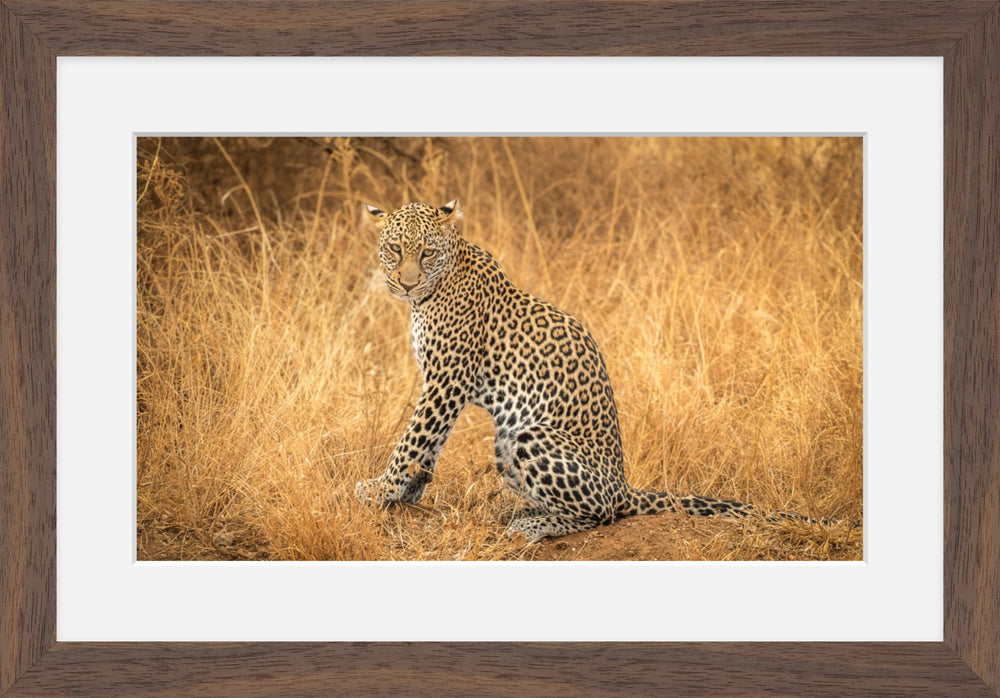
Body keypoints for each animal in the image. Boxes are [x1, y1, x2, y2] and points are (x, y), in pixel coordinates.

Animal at [355, 199, 843, 543]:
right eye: (394, 249)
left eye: (427, 252)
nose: (407, 283)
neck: (435, 288)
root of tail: (623, 486)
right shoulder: (442, 384)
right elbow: (428, 445)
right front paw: (408, 491)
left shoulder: (446, 380)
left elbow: (413, 438)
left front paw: (381, 489)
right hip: (507, 446)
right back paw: (528, 512)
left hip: (530, 435)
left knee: (600, 515)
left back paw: (531, 525)